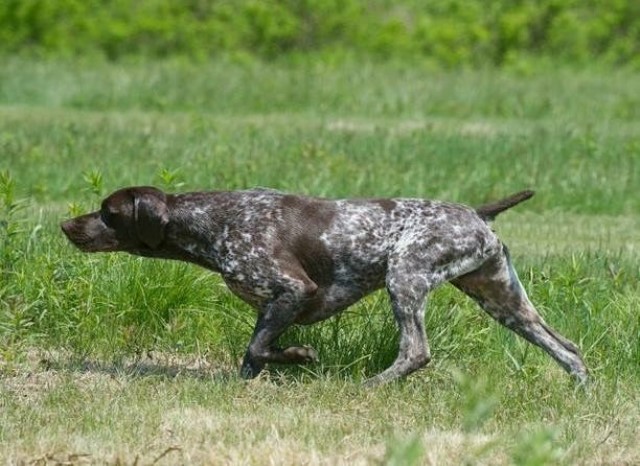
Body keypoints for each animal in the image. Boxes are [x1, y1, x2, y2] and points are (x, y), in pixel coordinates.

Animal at [62, 187, 588, 386]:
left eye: (108, 212)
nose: (67, 225)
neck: (213, 220)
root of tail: (477, 214)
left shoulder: (293, 290)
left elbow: (260, 347)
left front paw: (299, 357)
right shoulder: (273, 305)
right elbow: (253, 353)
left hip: (405, 276)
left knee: (415, 351)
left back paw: (371, 386)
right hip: (502, 300)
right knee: (569, 348)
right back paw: (579, 387)